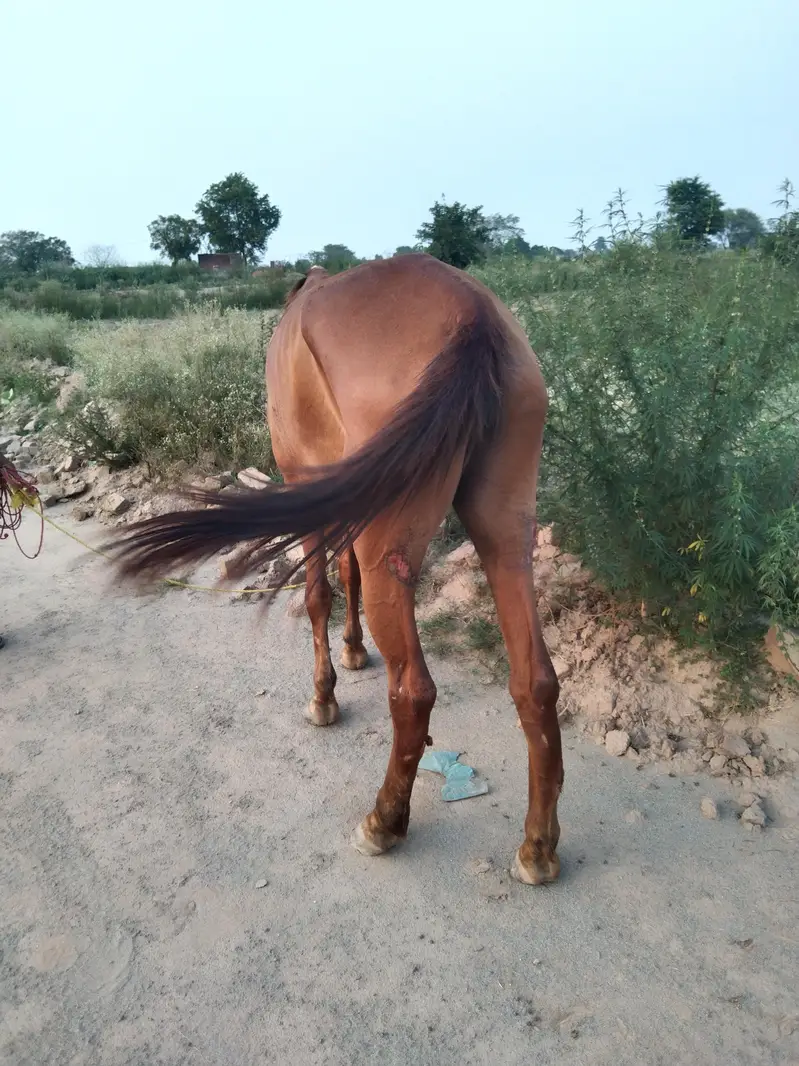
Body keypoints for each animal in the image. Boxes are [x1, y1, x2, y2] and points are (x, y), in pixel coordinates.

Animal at [109, 253, 563, 885]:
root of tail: (474, 318)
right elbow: (345, 577)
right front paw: (353, 650)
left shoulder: (304, 477)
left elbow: (319, 594)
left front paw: (324, 696)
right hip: (504, 526)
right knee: (536, 681)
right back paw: (538, 848)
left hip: (393, 540)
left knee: (413, 691)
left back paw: (384, 820)